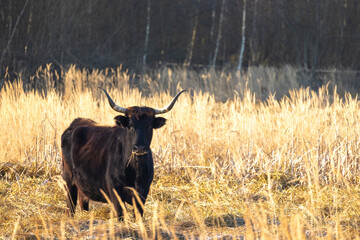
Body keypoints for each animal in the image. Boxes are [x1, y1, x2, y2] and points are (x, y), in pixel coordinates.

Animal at [60, 88, 186, 219]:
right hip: (68, 180)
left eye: (149, 126)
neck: (135, 169)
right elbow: (121, 215)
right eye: (130, 126)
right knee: (70, 207)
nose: (139, 148)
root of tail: (76, 123)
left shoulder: (143, 192)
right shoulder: (115, 191)